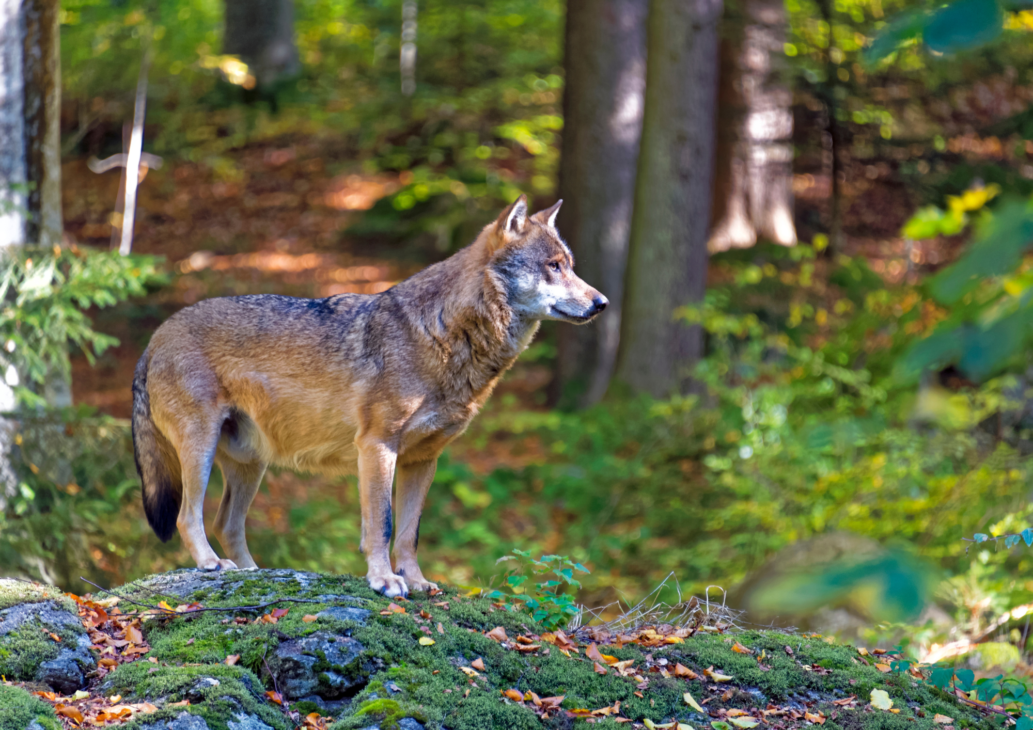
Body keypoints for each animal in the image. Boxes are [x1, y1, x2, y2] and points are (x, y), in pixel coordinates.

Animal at [134, 197, 607, 598]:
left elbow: (410, 533)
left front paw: (416, 581)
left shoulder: (424, 460)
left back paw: (253, 573)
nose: (601, 302)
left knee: (226, 524)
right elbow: (381, 525)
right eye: (554, 266)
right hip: (202, 450)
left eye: (570, 266)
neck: (443, 334)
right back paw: (211, 565)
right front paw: (384, 581)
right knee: (188, 516)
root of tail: (155, 337)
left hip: (252, 464)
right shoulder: (377, 446)